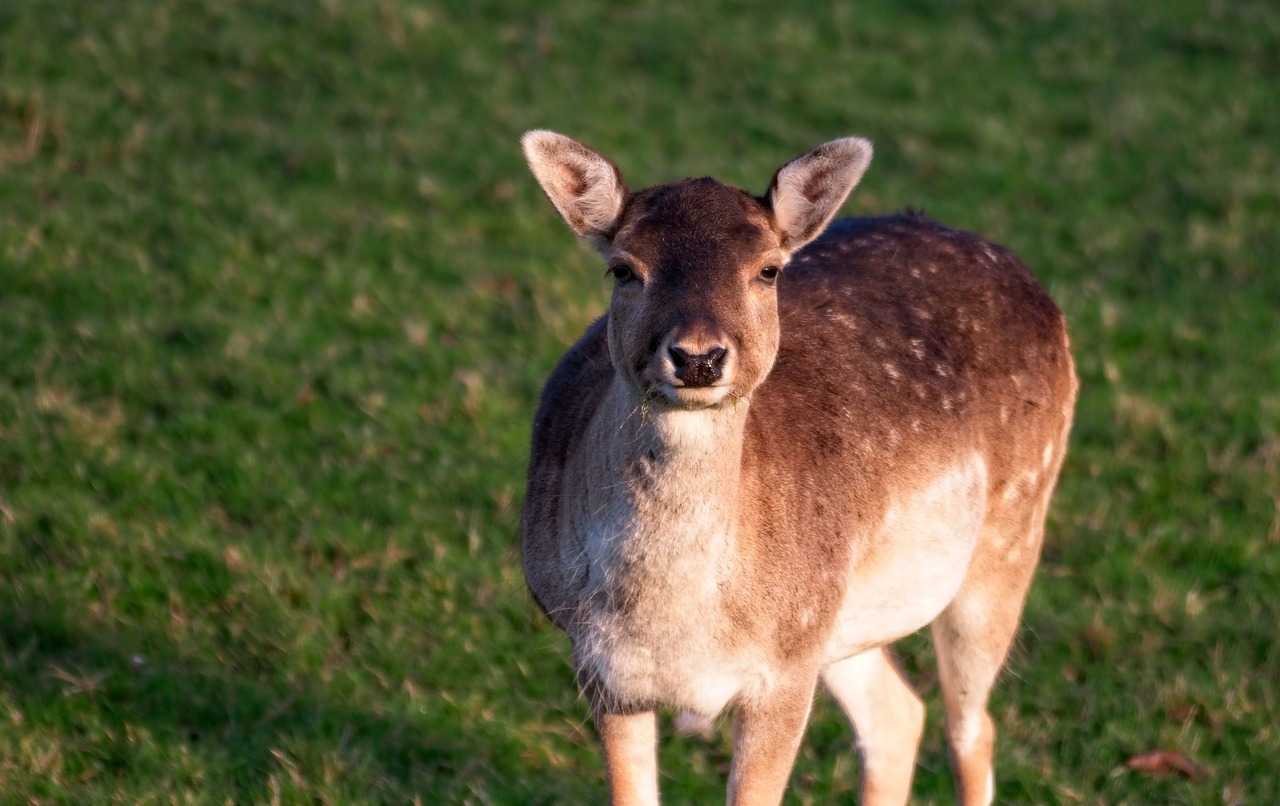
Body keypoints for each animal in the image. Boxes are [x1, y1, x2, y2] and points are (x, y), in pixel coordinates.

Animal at [514, 129, 1075, 803]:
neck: (673, 626)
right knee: (898, 715)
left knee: (971, 730)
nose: (697, 357)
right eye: (623, 268)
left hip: (1009, 536)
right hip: (838, 620)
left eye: (768, 269)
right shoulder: (603, 669)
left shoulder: (782, 671)